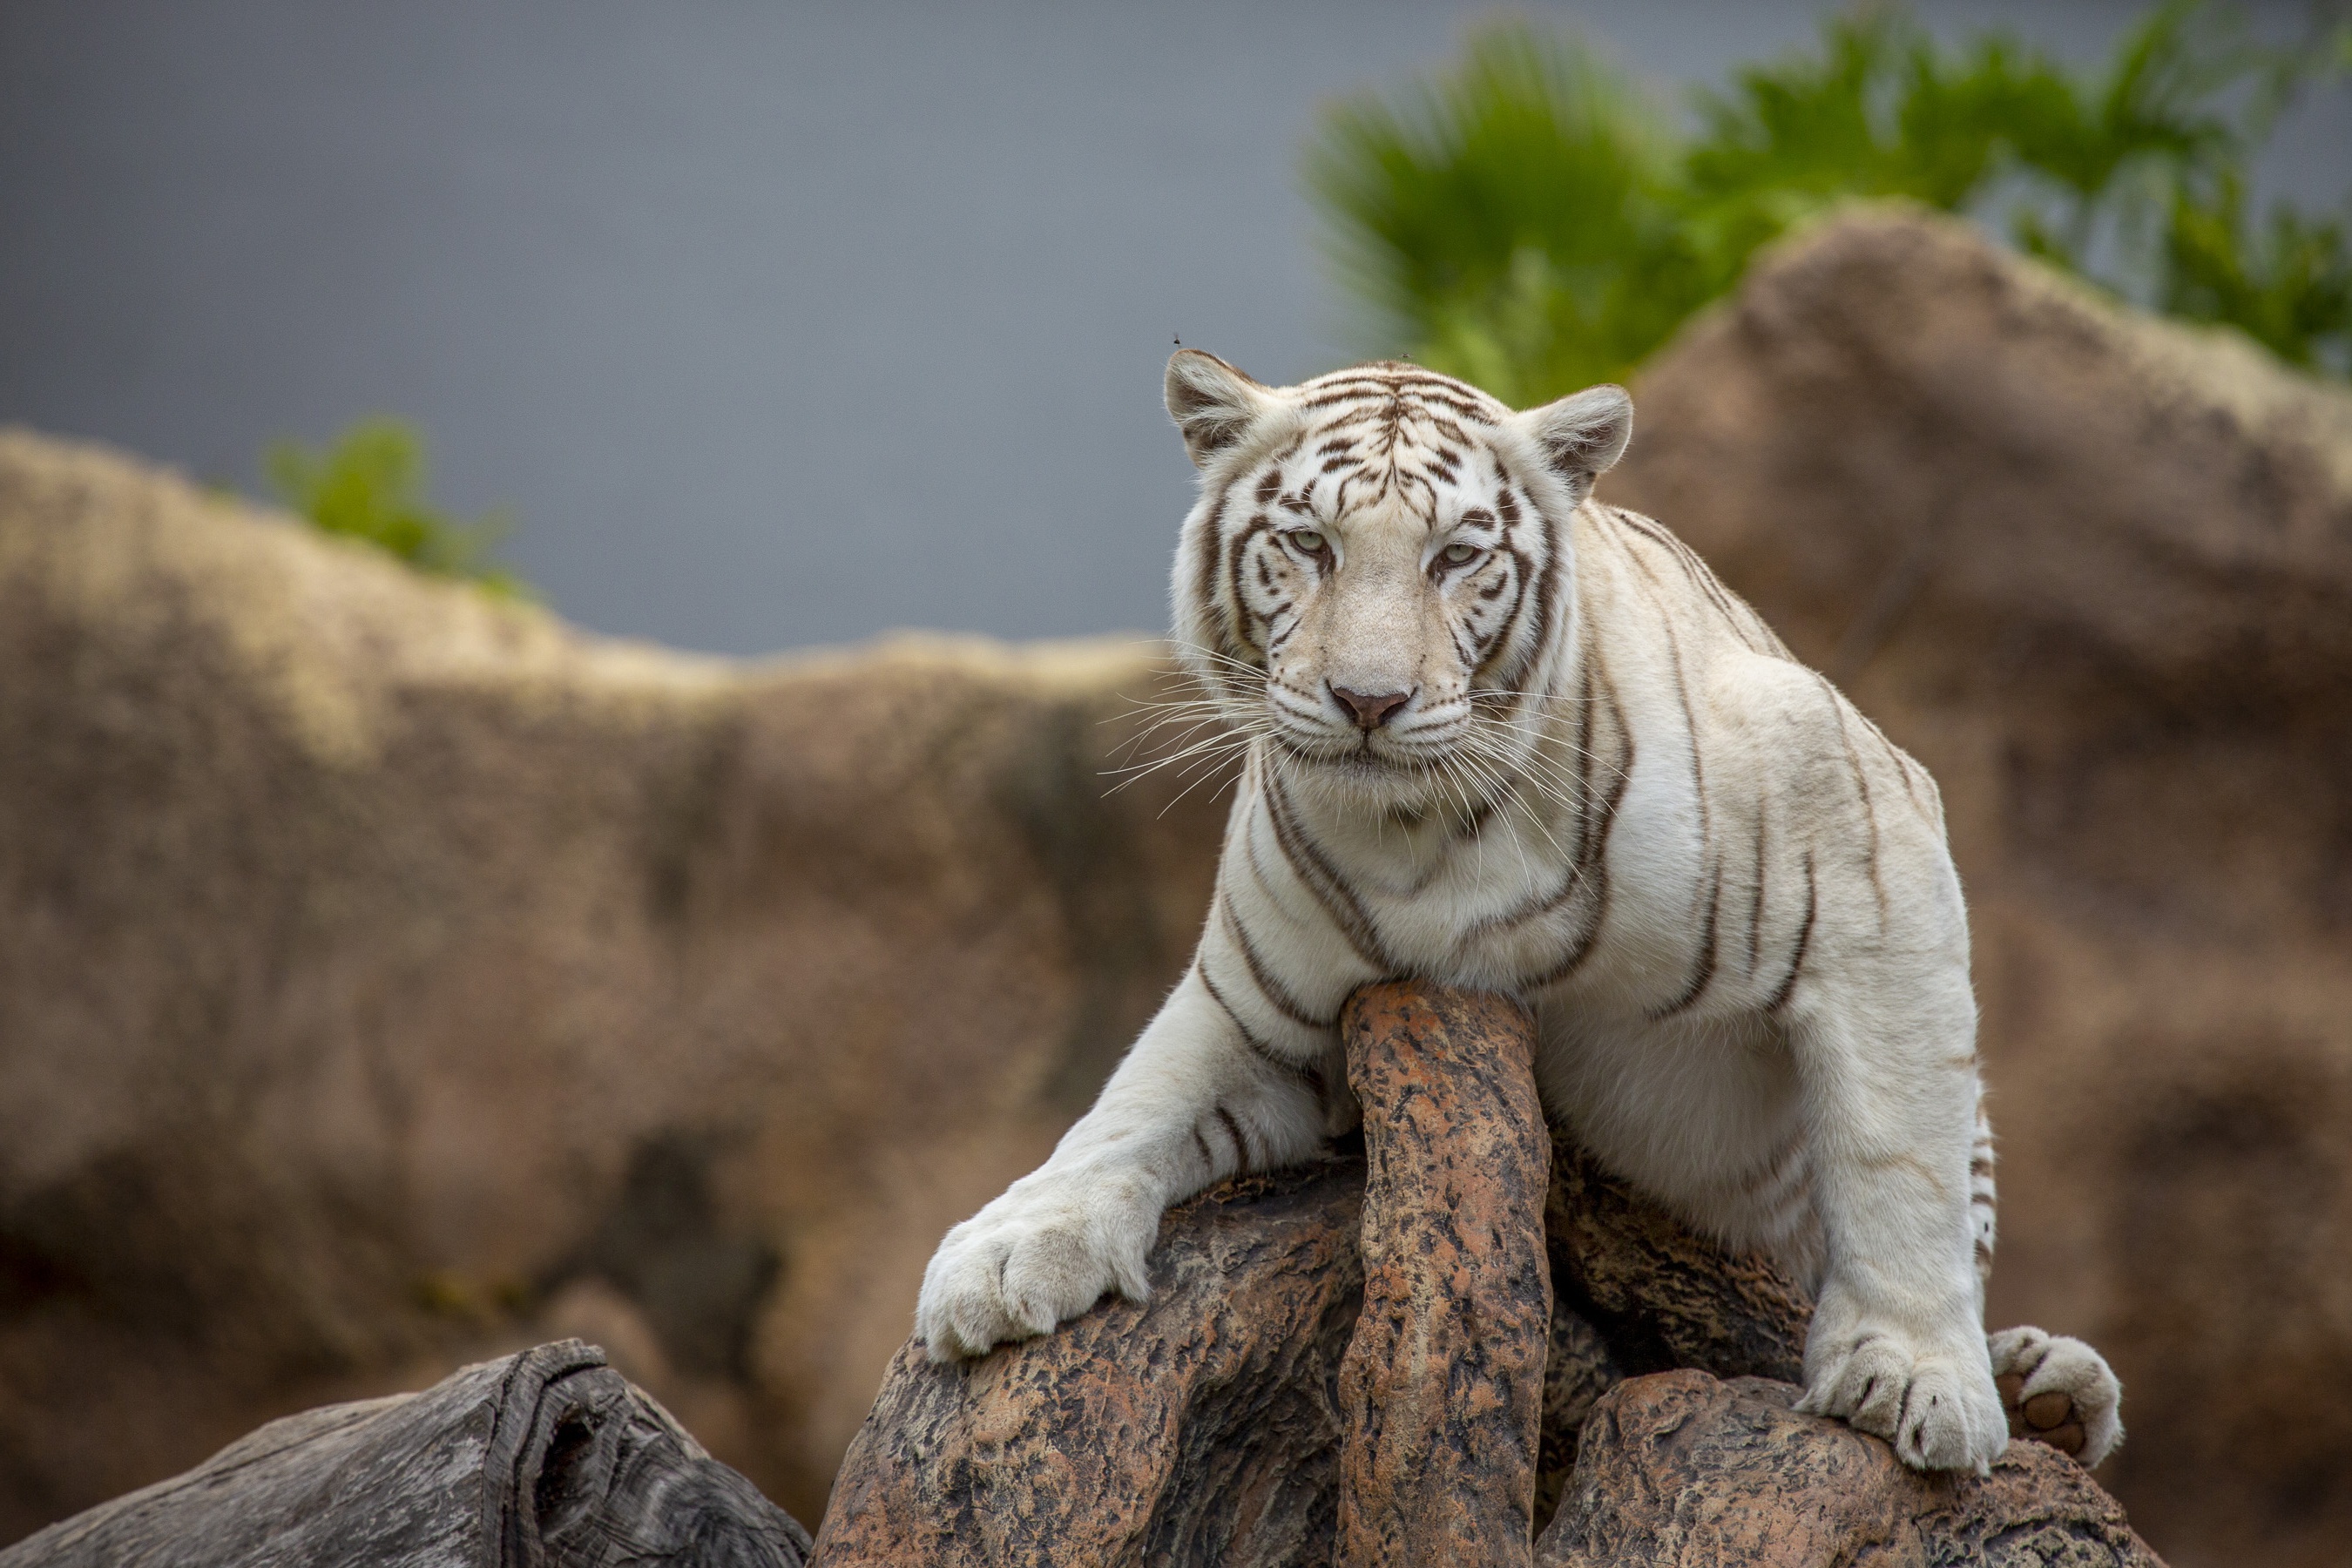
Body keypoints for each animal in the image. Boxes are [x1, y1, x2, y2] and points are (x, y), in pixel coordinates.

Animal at [912, 345, 2117, 1476]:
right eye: (1309, 544)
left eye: (1456, 556)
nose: (1368, 701)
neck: (1424, 840)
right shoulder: (1262, 1012)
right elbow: (1128, 1108)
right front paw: (1004, 1258)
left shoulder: (1873, 848)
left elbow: (1893, 1155)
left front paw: (1915, 1379)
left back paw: (2044, 1386)